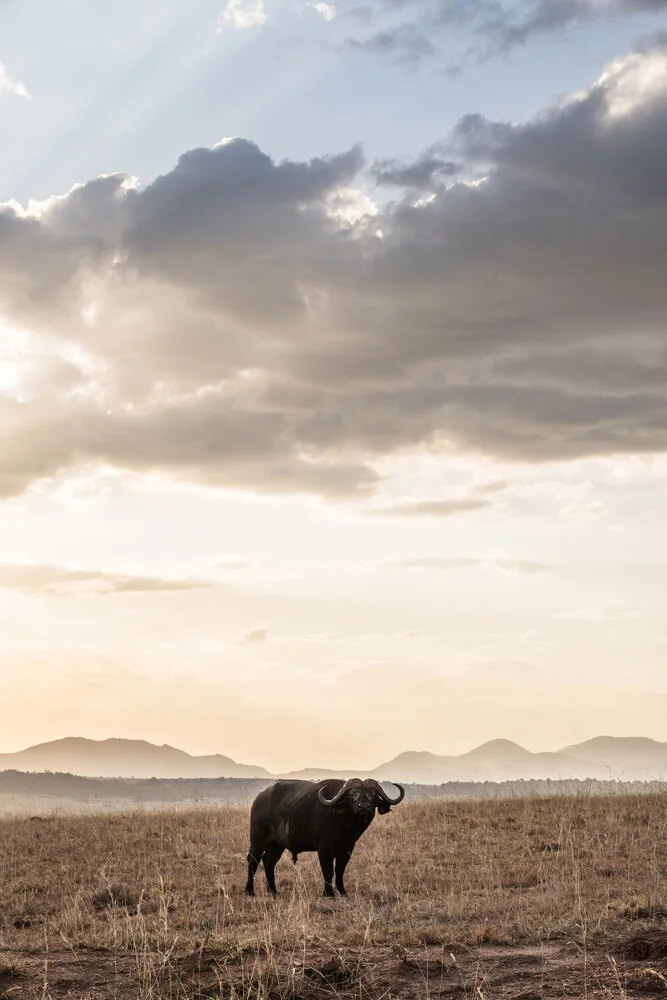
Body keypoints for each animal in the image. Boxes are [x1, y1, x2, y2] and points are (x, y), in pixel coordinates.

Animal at [244, 772, 404, 900]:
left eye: (372, 795)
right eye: (353, 794)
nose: (363, 807)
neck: (344, 822)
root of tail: (260, 798)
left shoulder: (348, 848)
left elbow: (340, 871)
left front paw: (342, 892)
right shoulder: (325, 848)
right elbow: (328, 871)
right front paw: (329, 893)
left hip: (277, 845)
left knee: (268, 862)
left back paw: (273, 891)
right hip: (257, 842)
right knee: (253, 862)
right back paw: (250, 891)